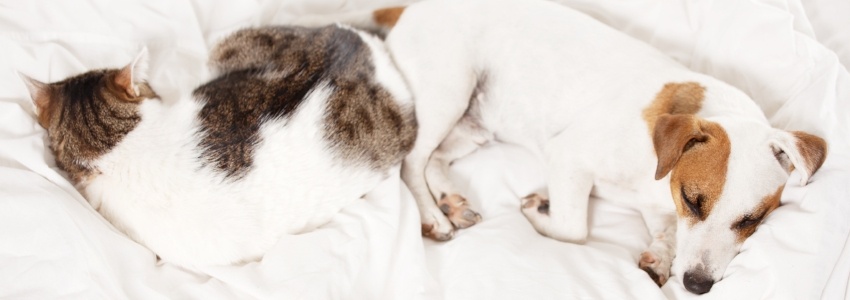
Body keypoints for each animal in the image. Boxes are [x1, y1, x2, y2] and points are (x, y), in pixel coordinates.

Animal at [294, 0, 824, 296]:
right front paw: (538, 211)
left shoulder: (658, 210)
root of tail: (411, 9)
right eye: (694, 200)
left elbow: (667, 237)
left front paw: (659, 257)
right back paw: (432, 216)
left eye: (751, 220)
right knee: (411, 163)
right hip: (447, 91)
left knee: (436, 160)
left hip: (474, 125)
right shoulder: (569, 158)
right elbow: (573, 229)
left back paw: (451, 201)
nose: (697, 287)